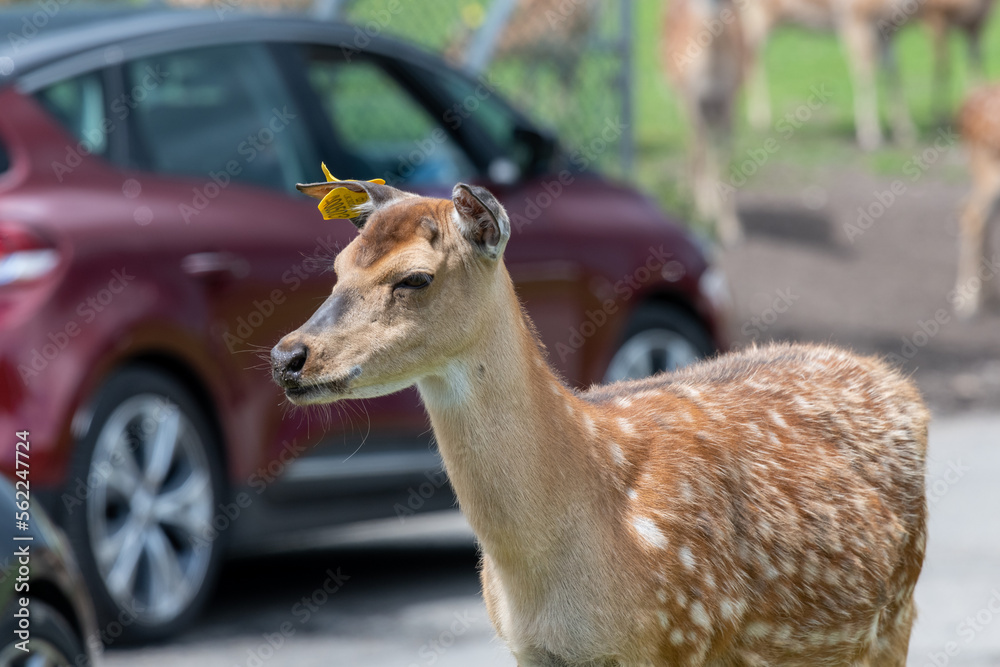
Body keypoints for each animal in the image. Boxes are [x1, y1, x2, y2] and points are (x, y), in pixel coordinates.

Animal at [271, 174, 930, 665]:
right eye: (338, 266)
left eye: (415, 277)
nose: (288, 357)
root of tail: (900, 384)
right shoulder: (530, 651)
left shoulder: (683, 638)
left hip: (897, 615)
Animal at [662, 0, 746, 245]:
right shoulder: (692, 99)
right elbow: (701, 150)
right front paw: (702, 213)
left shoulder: (730, 100)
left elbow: (725, 158)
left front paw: (730, 229)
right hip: (682, 98)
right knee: (694, 144)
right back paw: (692, 196)